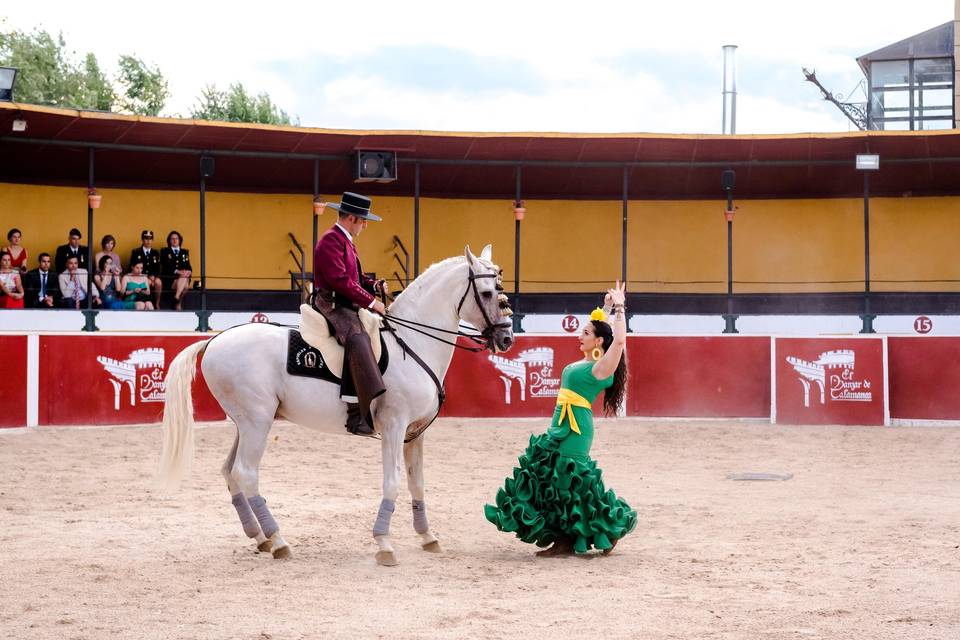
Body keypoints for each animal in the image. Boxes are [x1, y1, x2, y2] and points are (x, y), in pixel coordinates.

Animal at [157, 244, 512, 564]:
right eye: (487, 292)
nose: (507, 338)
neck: (412, 345)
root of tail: (215, 339)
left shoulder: (416, 433)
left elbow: (418, 483)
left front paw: (427, 537)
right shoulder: (394, 427)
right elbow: (393, 482)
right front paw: (384, 543)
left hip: (245, 423)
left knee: (230, 471)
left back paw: (260, 537)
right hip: (257, 422)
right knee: (246, 473)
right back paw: (278, 540)